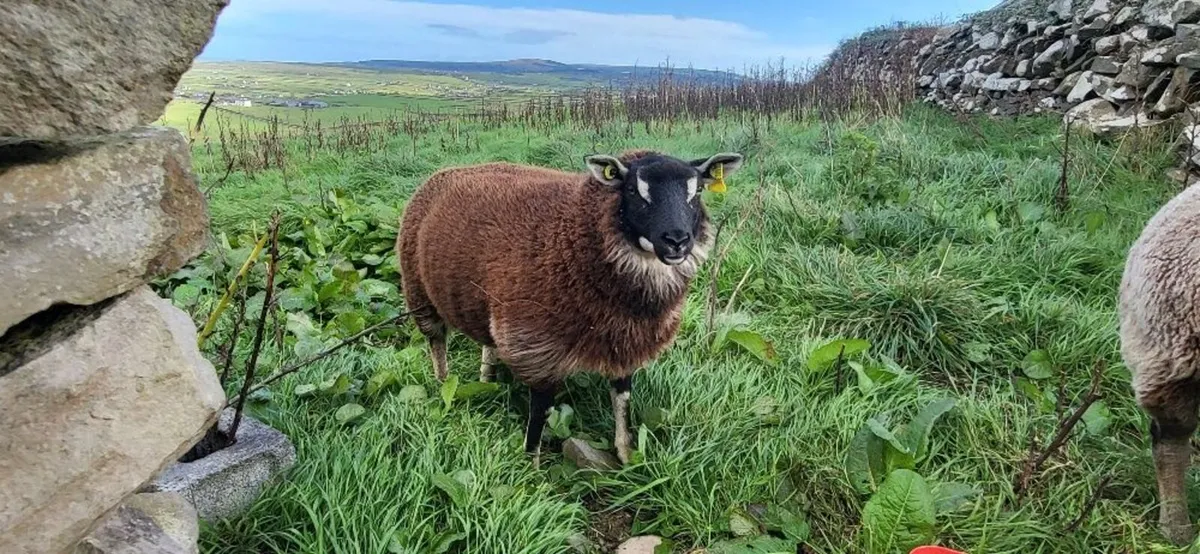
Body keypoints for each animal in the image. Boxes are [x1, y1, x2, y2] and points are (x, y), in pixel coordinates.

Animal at [396, 149, 744, 464]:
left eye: (697, 191)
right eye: (633, 190)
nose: (677, 241)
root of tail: (452, 169)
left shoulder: (626, 342)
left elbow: (623, 399)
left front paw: (626, 454)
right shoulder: (535, 347)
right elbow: (540, 413)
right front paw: (531, 469)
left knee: (488, 342)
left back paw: (486, 380)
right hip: (419, 293)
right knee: (436, 342)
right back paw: (443, 384)